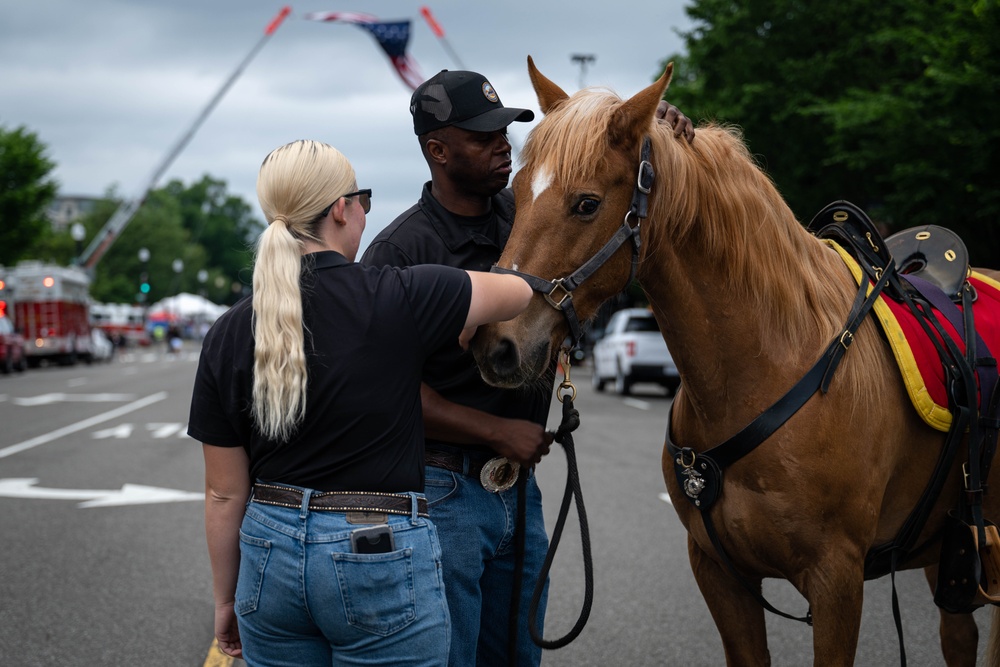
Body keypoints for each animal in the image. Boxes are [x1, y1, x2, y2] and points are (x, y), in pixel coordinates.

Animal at [470, 58, 1000, 667]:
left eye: (586, 203)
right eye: (515, 192)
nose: (496, 343)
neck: (765, 370)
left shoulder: (837, 582)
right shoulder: (720, 574)